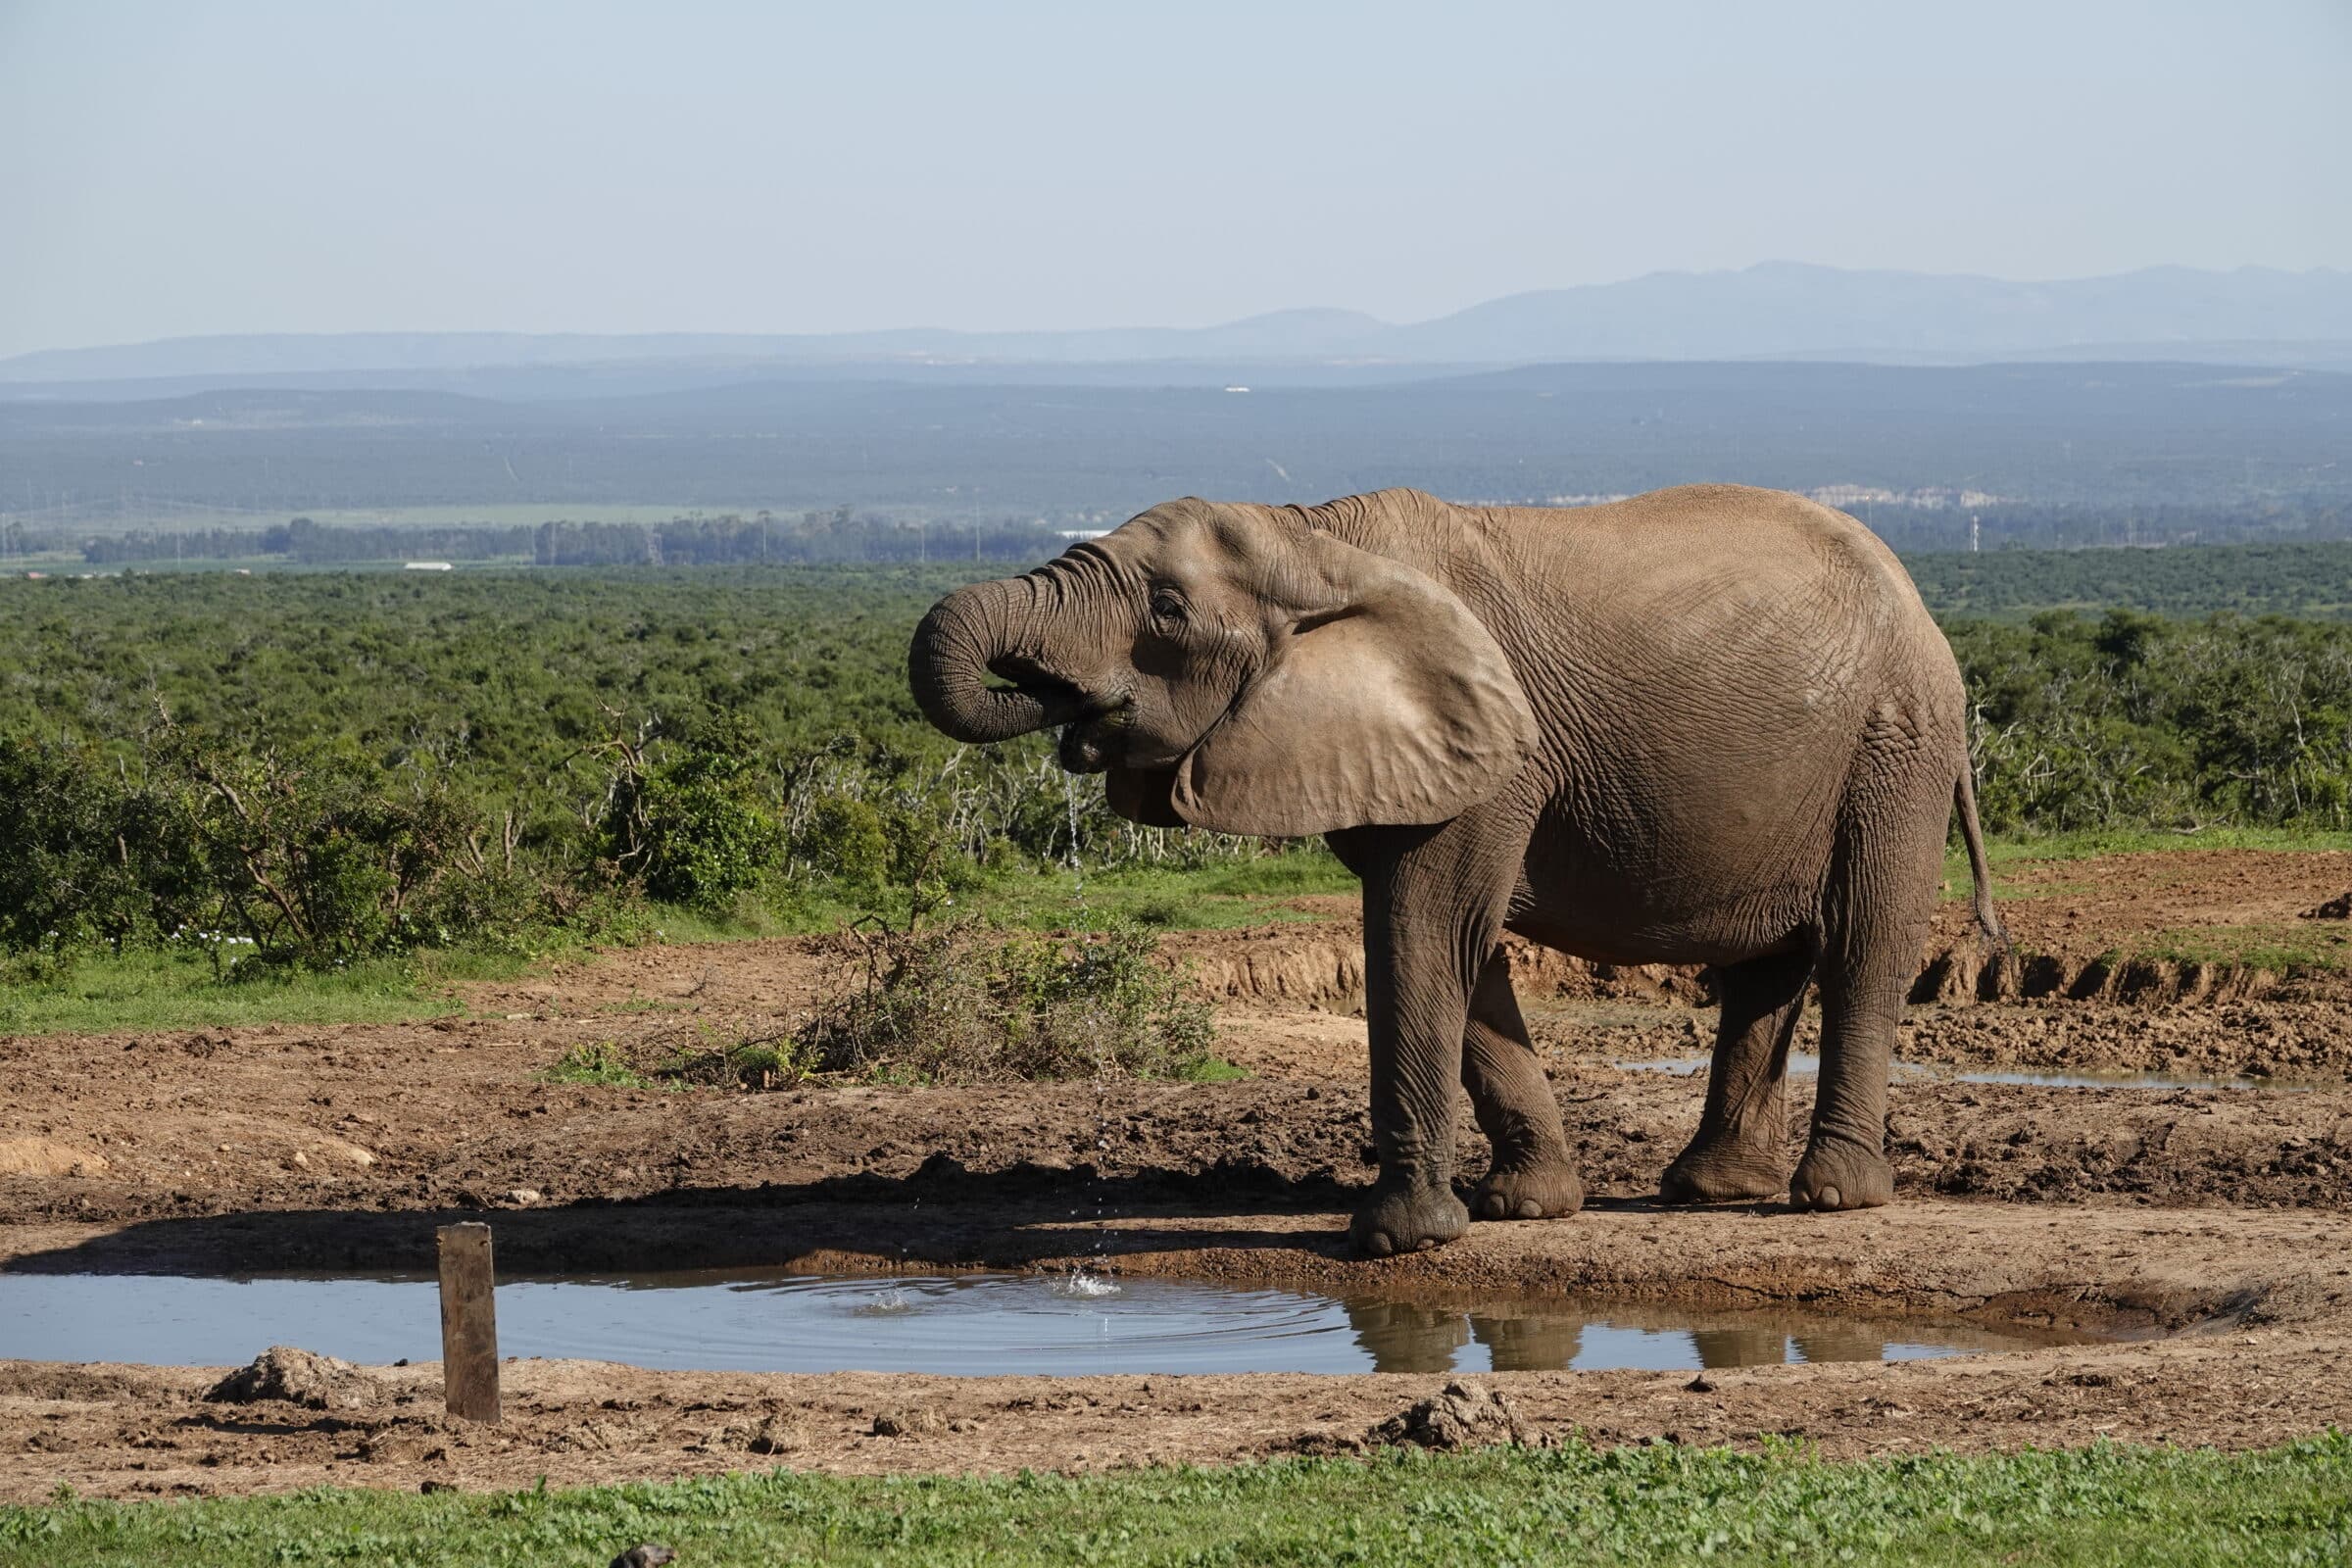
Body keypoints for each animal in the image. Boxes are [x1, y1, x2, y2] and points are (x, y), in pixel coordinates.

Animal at [907, 484, 1994, 1259]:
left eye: (1168, 611)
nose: (1072, 712)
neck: (1318, 541)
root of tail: (1919, 602)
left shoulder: (1496, 750)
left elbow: (1424, 930)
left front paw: (1396, 1242)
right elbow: (1459, 949)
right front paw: (1525, 1209)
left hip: (1898, 741)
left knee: (1863, 946)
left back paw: (1830, 1197)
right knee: (1763, 970)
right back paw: (1714, 1189)